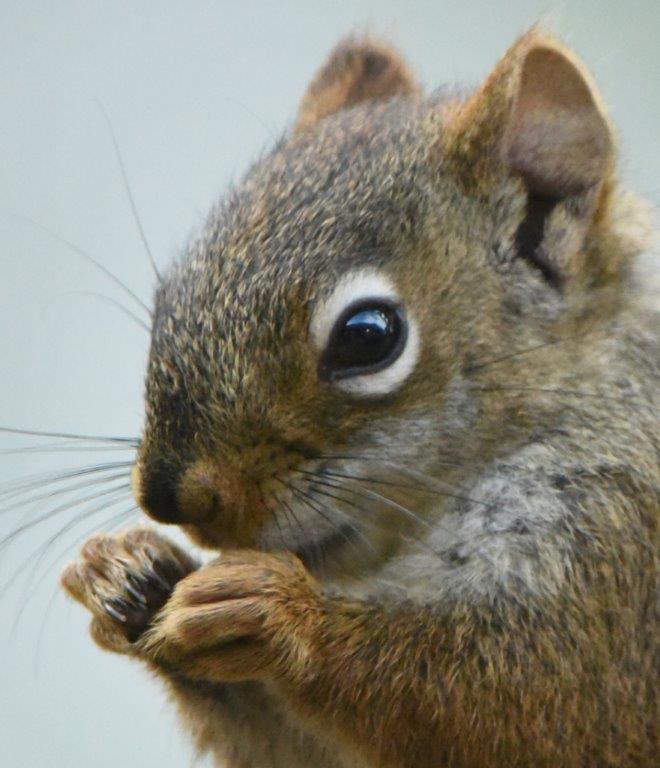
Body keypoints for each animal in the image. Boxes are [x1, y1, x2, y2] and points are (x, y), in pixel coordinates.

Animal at [60, 28, 658, 768]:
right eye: (168, 292)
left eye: (368, 336)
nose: (172, 498)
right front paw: (125, 573)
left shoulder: (617, 559)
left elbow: (530, 702)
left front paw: (279, 614)